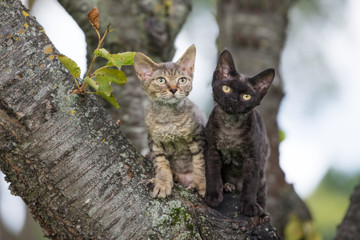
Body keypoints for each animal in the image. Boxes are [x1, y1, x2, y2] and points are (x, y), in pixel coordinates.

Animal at [133, 45, 207, 199]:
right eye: (161, 80)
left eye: (182, 80)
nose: (173, 89)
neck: (169, 118)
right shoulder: (154, 141)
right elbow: (161, 163)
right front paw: (163, 183)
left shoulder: (198, 136)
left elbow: (200, 163)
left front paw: (200, 184)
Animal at [204, 49, 274, 217]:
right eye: (226, 88)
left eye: (246, 96)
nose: (234, 100)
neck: (230, 128)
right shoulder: (211, 149)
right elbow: (213, 173)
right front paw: (213, 196)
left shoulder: (253, 157)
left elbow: (250, 183)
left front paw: (249, 205)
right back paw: (228, 186)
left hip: (263, 177)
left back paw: (262, 209)